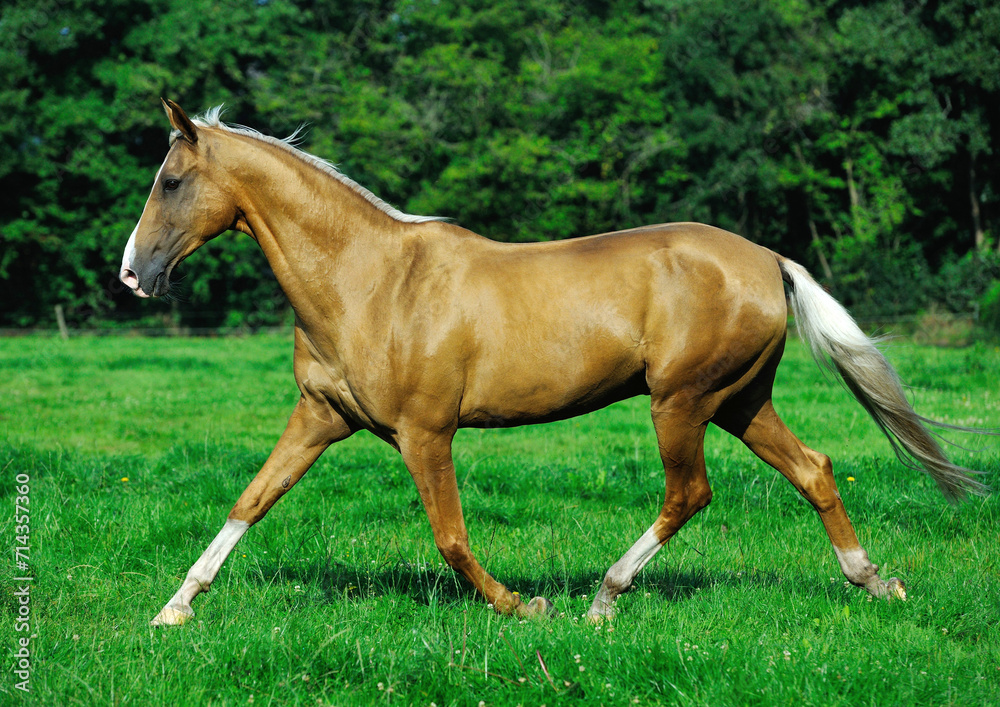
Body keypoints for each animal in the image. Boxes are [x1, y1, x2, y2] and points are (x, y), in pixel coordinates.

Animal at [121, 99, 987, 626]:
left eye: (172, 180)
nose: (132, 273)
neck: (370, 281)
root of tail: (768, 259)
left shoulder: (426, 432)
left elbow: (451, 537)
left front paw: (520, 605)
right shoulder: (320, 418)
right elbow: (250, 500)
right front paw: (174, 607)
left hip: (681, 402)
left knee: (690, 493)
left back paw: (604, 597)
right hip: (741, 401)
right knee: (813, 468)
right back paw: (873, 579)